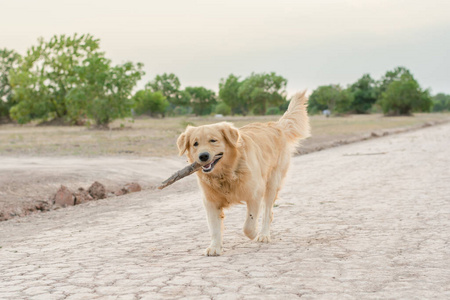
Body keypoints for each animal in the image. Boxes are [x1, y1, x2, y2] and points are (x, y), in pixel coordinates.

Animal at [178, 91, 312, 255]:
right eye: (195, 144)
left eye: (213, 140)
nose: (203, 156)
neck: (226, 173)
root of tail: (276, 125)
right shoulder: (210, 201)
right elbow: (214, 227)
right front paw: (215, 247)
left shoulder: (255, 193)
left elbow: (248, 224)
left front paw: (254, 233)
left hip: (272, 183)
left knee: (268, 212)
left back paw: (264, 234)